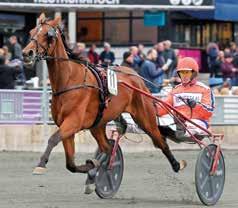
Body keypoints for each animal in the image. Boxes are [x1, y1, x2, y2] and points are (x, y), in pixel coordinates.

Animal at [22, 14, 186, 177]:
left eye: (47, 34)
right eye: (31, 32)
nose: (26, 53)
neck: (69, 80)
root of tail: (136, 76)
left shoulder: (73, 122)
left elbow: (53, 139)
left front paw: (41, 164)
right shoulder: (66, 125)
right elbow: (71, 164)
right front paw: (91, 164)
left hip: (145, 118)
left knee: (160, 141)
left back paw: (177, 164)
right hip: (98, 124)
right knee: (107, 147)